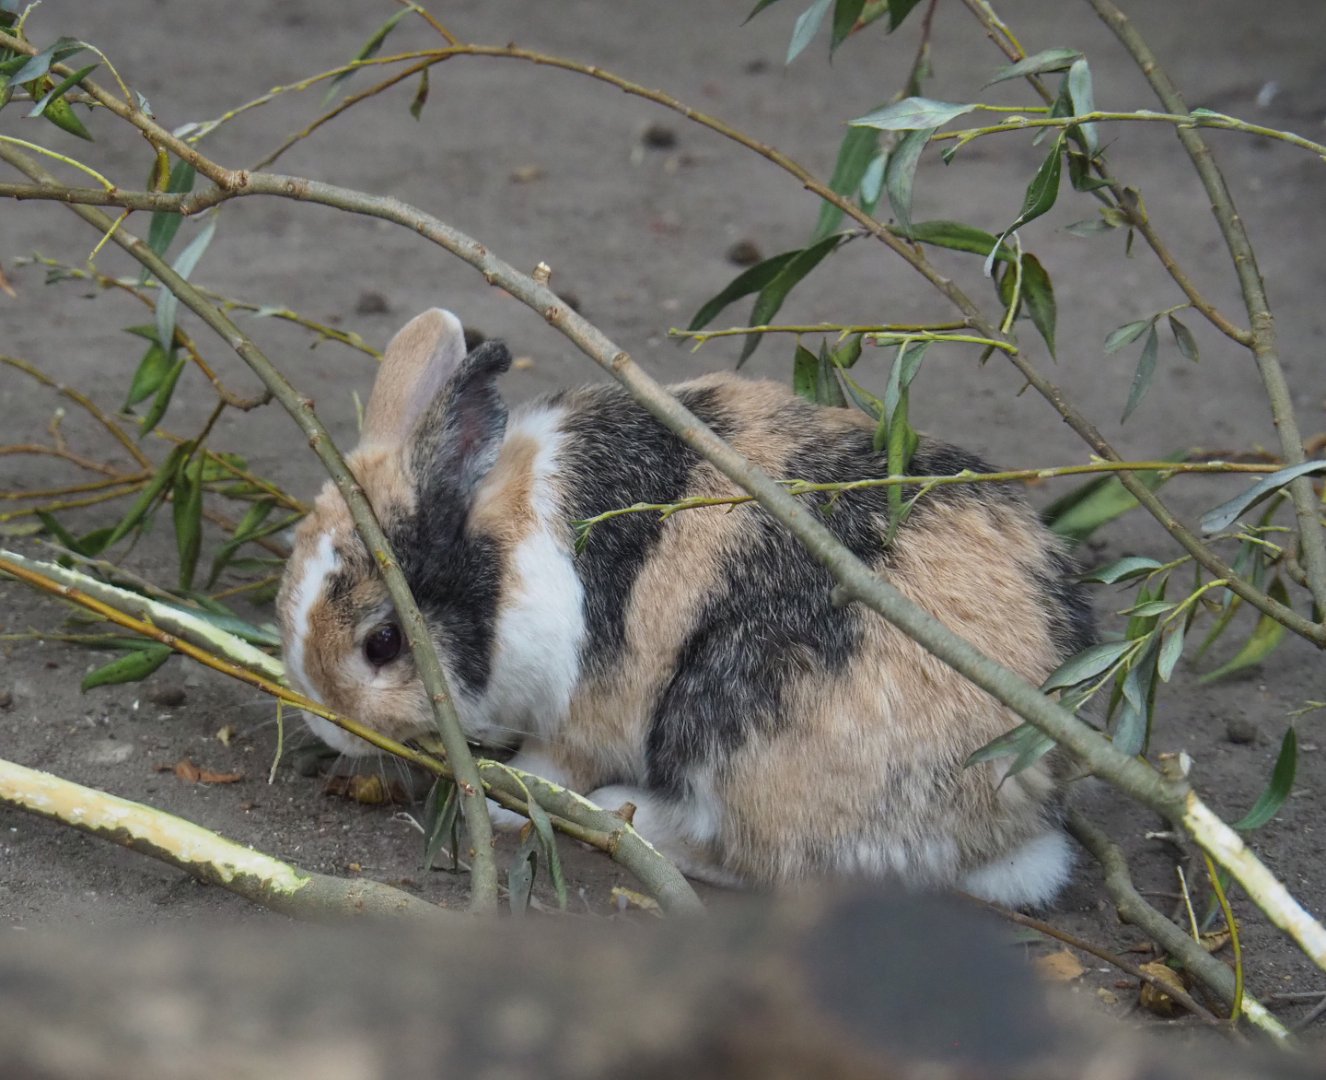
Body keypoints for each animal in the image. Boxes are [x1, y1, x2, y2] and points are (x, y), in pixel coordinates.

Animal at [277, 307, 1095, 907]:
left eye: (383, 642)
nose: (327, 725)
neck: (505, 558)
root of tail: (1018, 817)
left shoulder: (581, 711)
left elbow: (555, 761)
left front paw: (515, 805)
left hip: (734, 732)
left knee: (760, 860)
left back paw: (625, 813)